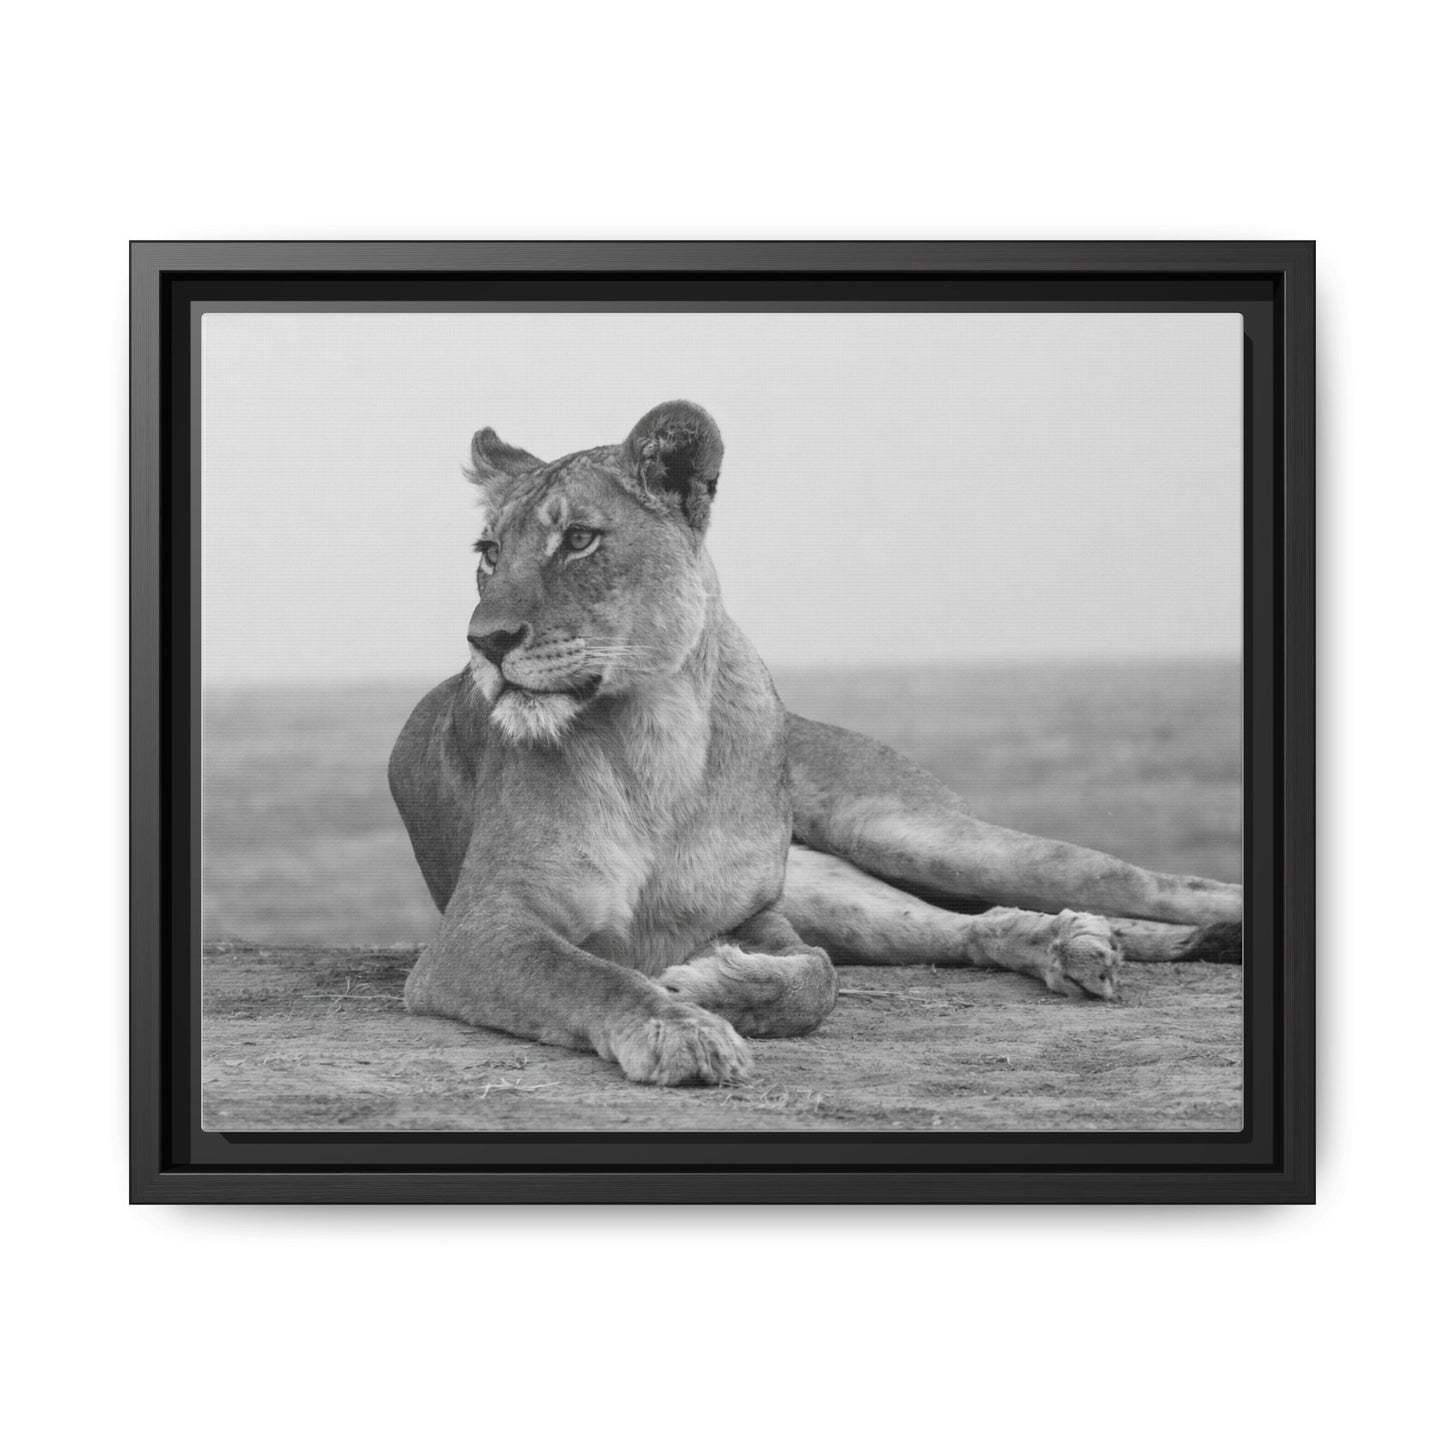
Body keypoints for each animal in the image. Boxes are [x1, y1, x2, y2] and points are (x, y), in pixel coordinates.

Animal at [390, 401, 1243, 1086]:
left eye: (577, 539)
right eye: (488, 553)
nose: (485, 642)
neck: (655, 737)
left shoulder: (758, 912)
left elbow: (816, 979)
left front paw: (706, 986)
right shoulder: (479, 929)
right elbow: (590, 975)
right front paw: (680, 1027)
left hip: (905, 831)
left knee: (1149, 882)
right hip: (841, 887)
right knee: (963, 927)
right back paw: (1069, 942)